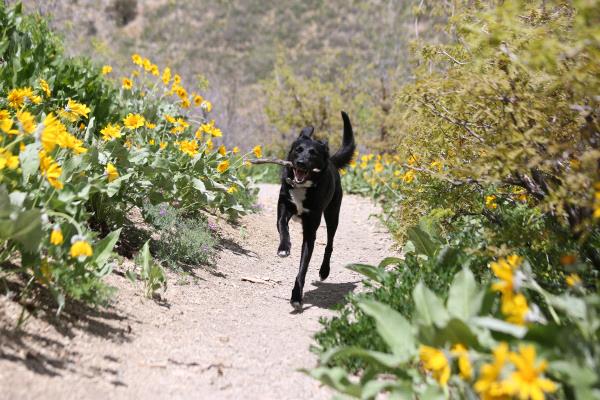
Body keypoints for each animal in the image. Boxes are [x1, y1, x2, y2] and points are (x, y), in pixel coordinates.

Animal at [278, 111, 356, 310]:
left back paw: (324, 270)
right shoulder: (283, 209)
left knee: (329, 244)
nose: (301, 163)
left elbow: (302, 268)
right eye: (298, 149)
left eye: (313, 153)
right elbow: (283, 228)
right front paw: (284, 248)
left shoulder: (310, 232)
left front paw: (296, 296)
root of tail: (332, 162)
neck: (303, 186)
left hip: (332, 215)